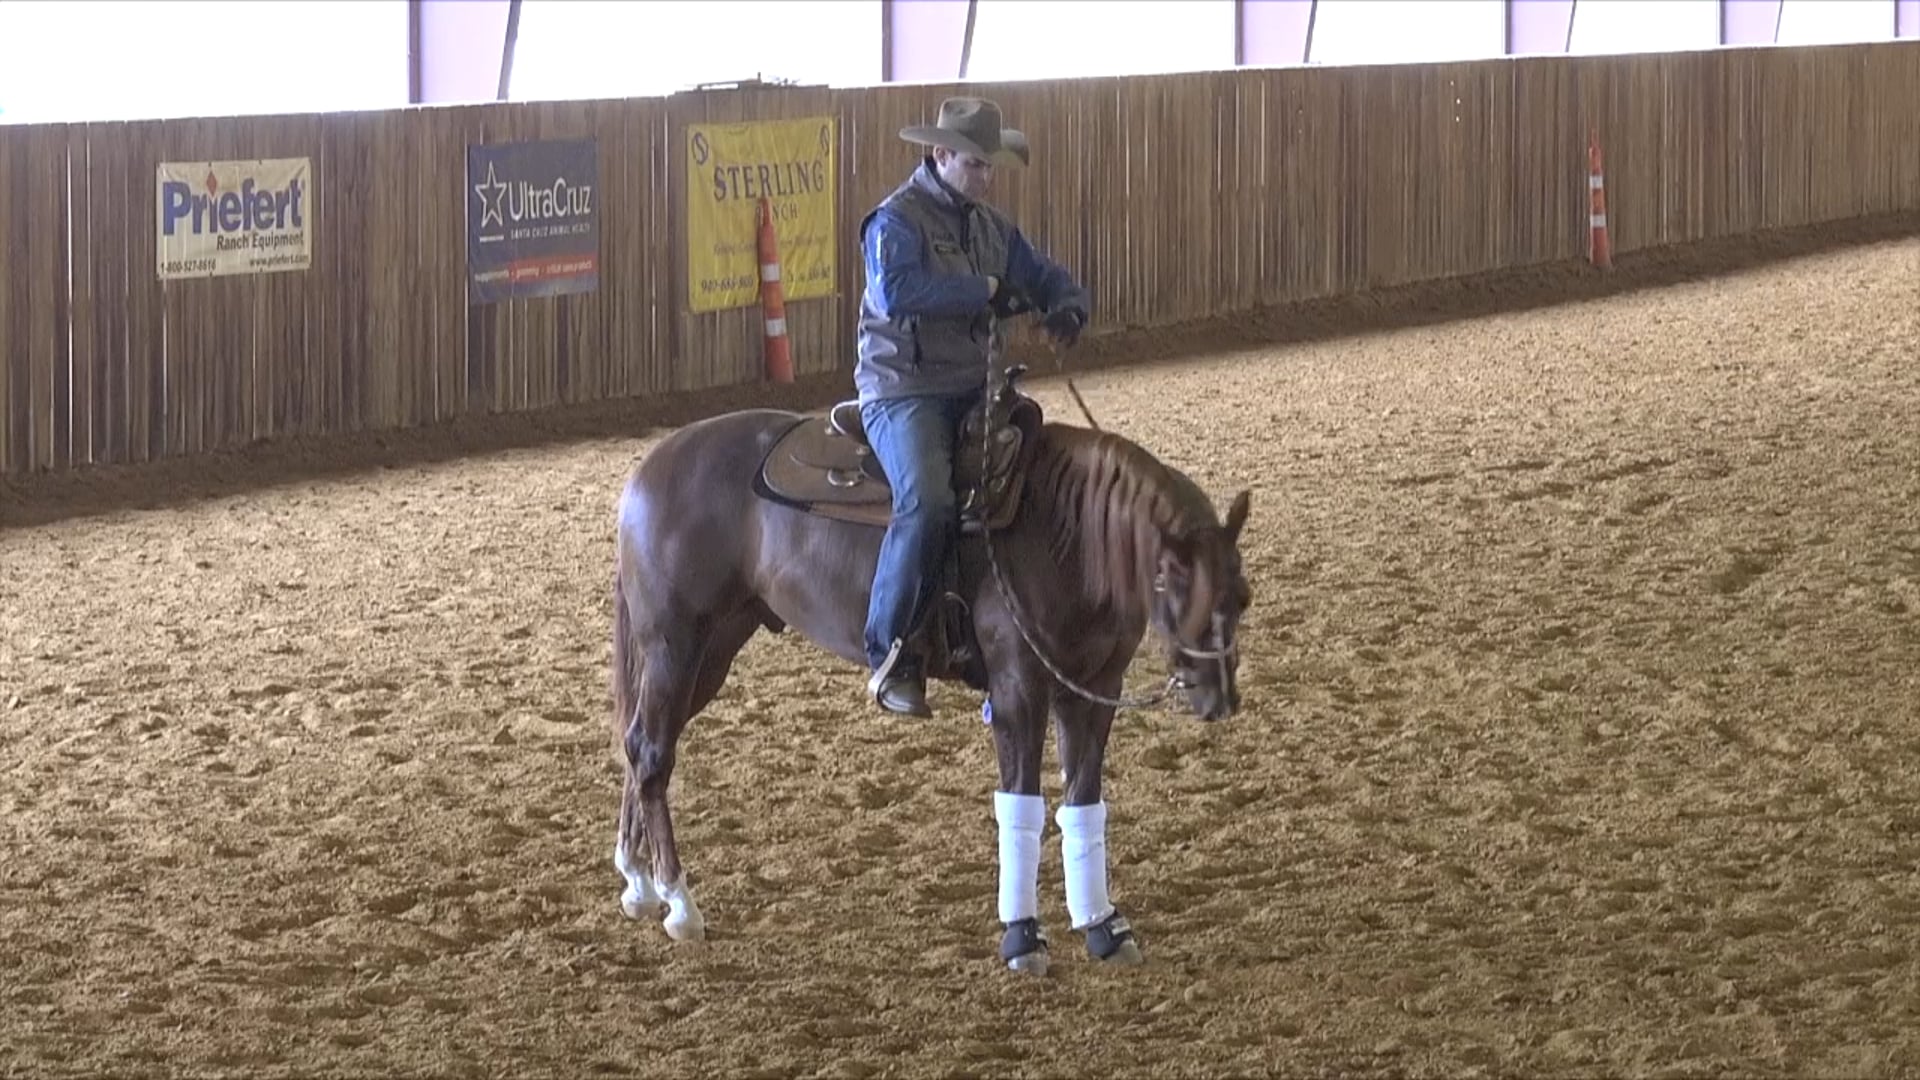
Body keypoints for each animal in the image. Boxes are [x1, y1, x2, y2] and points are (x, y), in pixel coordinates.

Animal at [607, 353, 1254, 975]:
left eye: (1241, 596)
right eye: (1167, 581)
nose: (1216, 696)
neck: (1062, 531)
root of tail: (649, 470)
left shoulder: (1091, 691)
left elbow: (1083, 802)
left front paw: (1103, 927)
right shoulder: (1018, 691)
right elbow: (1021, 805)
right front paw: (1023, 938)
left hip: (713, 649)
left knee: (640, 744)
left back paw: (640, 885)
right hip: (674, 645)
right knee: (654, 754)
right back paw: (679, 903)